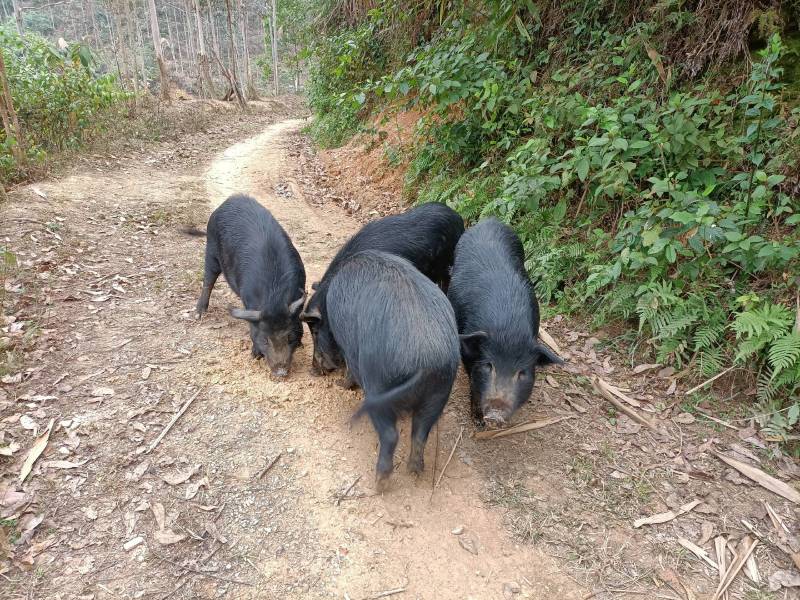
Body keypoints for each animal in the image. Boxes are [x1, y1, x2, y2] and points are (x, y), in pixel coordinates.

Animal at [194, 195, 306, 378]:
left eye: (290, 337)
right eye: (265, 339)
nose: (281, 372)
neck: (274, 297)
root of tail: (229, 200)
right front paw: (255, 355)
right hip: (210, 248)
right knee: (208, 280)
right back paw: (199, 314)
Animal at [324, 251, 460, 490]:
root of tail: (426, 360)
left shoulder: (348, 348)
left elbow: (350, 367)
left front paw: (341, 384)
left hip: (378, 383)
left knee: (389, 435)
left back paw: (380, 483)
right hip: (440, 390)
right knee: (420, 432)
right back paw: (414, 471)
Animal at [446, 218, 560, 428]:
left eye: (522, 372)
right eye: (489, 365)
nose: (496, 413)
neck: (509, 331)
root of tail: (489, 220)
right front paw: (478, 422)